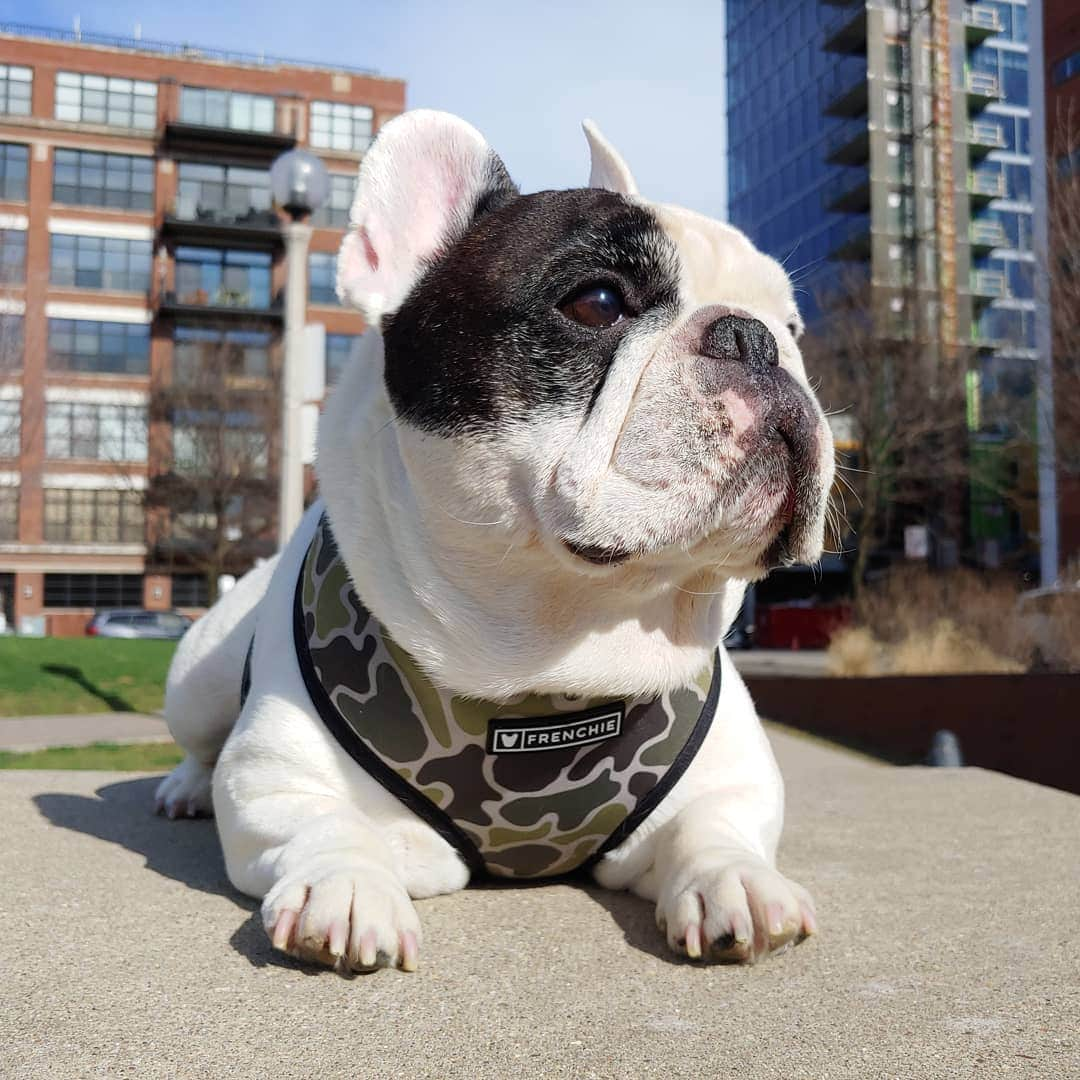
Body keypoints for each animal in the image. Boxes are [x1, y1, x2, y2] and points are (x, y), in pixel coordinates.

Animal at [156, 109, 833, 972]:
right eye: (597, 301)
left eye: (793, 325)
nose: (755, 339)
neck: (559, 651)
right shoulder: (274, 780)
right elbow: (325, 821)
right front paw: (347, 885)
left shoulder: (732, 780)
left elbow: (716, 824)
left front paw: (735, 881)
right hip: (197, 676)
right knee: (199, 743)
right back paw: (181, 788)